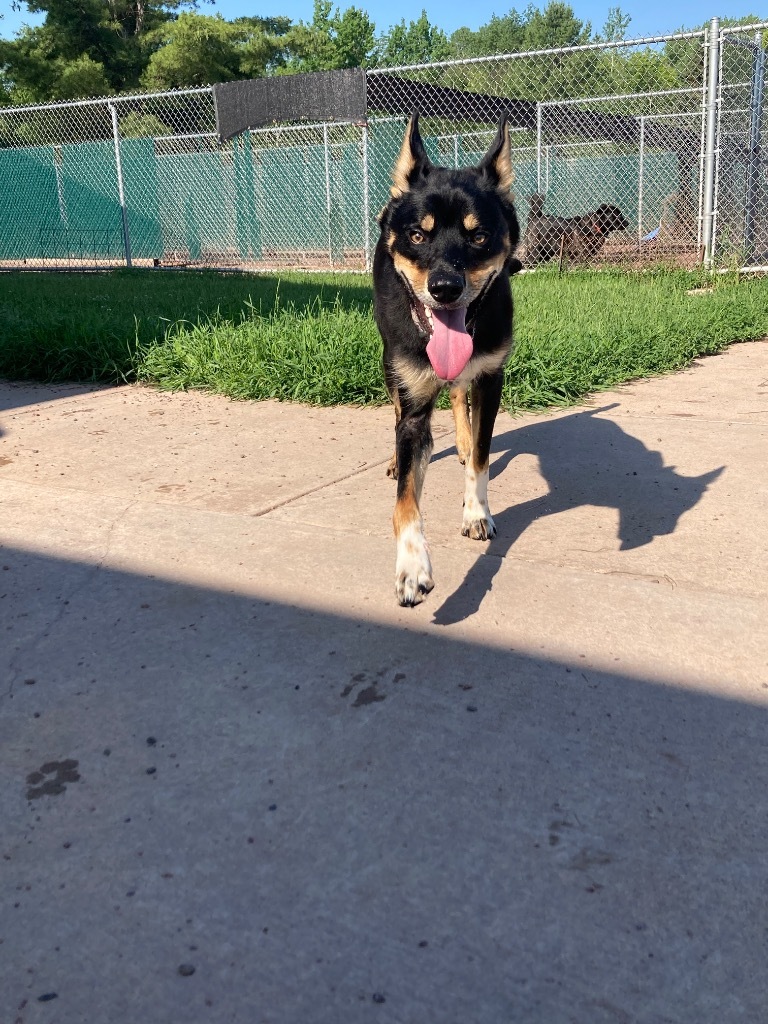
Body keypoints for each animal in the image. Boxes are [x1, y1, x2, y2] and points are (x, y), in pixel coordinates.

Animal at [374, 115, 524, 602]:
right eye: (418, 235)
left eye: (479, 236)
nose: (444, 288)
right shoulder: (413, 397)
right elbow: (406, 500)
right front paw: (411, 565)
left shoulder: (491, 378)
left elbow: (481, 455)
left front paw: (476, 512)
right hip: (391, 365)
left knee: (459, 395)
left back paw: (459, 441)